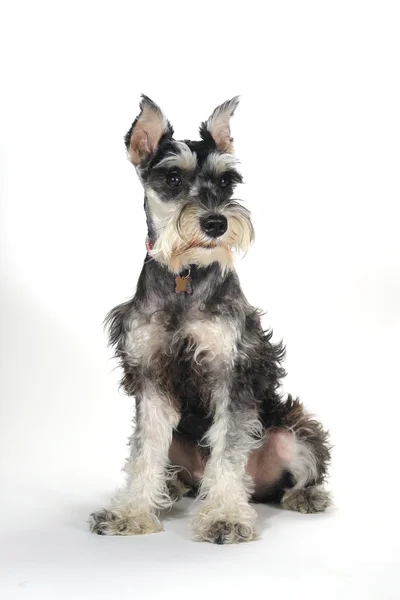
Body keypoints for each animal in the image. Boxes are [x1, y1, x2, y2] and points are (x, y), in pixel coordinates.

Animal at [90, 95, 332, 544]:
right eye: (172, 178)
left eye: (226, 182)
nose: (217, 223)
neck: (184, 276)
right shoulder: (150, 375)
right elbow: (144, 450)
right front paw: (132, 512)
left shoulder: (231, 371)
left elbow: (229, 450)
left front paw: (225, 517)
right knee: (174, 470)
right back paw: (169, 489)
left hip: (294, 435)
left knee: (296, 473)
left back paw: (305, 496)